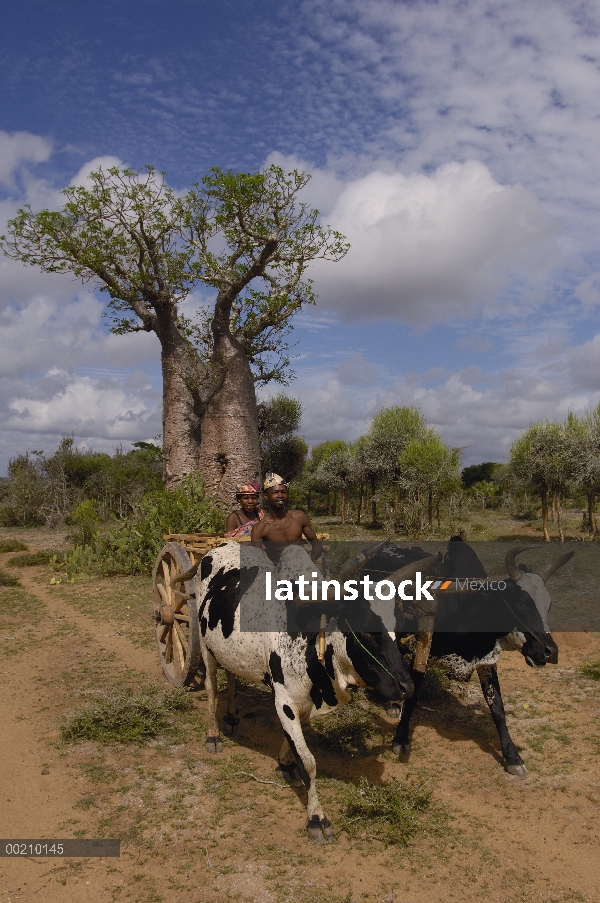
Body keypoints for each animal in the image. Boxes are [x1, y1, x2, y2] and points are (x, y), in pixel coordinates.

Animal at [195, 544, 414, 848]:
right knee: (211, 686)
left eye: (401, 630)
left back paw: (231, 717)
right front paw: (317, 819)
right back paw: (213, 734)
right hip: (206, 647)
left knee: (232, 674)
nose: (407, 687)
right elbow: (309, 762)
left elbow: (295, 747)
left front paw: (285, 764)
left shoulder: (306, 702)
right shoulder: (284, 700)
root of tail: (220, 547)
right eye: (367, 630)